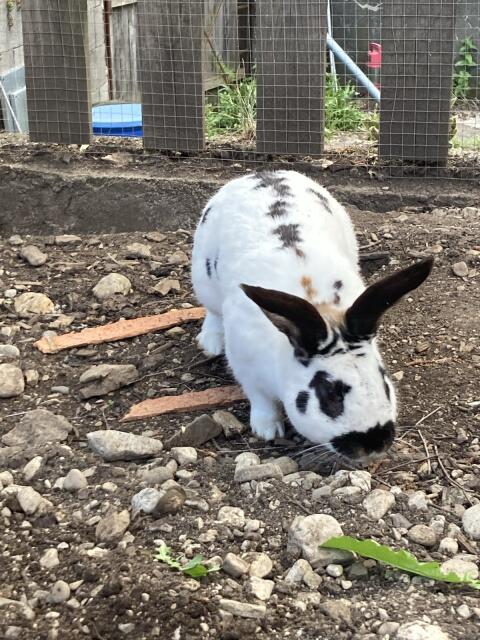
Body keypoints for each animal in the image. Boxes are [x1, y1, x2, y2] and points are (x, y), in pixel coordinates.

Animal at [191, 170, 433, 464]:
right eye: (329, 395)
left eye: (384, 383)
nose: (374, 445)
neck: (323, 309)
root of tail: (261, 174)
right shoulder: (245, 367)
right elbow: (261, 400)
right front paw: (267, 429)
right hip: (203, 278)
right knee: (212, 311)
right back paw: (211, 342)